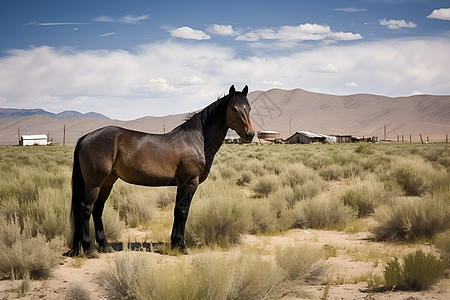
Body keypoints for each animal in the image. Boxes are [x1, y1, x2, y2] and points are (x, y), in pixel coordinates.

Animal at [68, 85, 255, 258]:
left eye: (249, 108)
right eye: (233, 108)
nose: (249, 134)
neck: (197, 140)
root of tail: (86, 137)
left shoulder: (182, 185)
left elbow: (177, 212)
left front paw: (175, 243)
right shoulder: (189, 183)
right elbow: (183, 212)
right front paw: (182, 246)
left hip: (107, 182)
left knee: (98, 209)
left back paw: (106, 246)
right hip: (94, 183)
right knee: (86, 209)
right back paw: (91, 249)